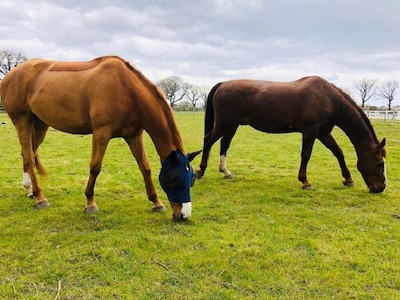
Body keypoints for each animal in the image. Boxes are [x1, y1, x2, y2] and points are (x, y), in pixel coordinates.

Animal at [0, 56, 202, 219]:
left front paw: (156, 202)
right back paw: (40, 198)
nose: (184, 215)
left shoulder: (134, 136)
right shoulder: (101, 133)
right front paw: (90, 203)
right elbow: (95, 167)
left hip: (40, 124)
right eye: (175, 179)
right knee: (28, 154)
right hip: (23, 121)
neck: (126, 89)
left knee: (28, 153)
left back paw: (30, 190)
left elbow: (145, 167)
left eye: (192, 179)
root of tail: (10, 75)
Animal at [197, 76, 388, 193]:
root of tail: (222, 84)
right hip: (224, 125)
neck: (328, 99)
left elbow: (338, 153)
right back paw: (200, 171)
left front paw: (348, 179)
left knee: (224, 145)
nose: (380, 188)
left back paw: (225, 172)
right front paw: (305, 182)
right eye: (380, 163)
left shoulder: (323, 133)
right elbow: (306, 155)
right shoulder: (311, 131)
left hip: (232, 126)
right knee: (208, 141)